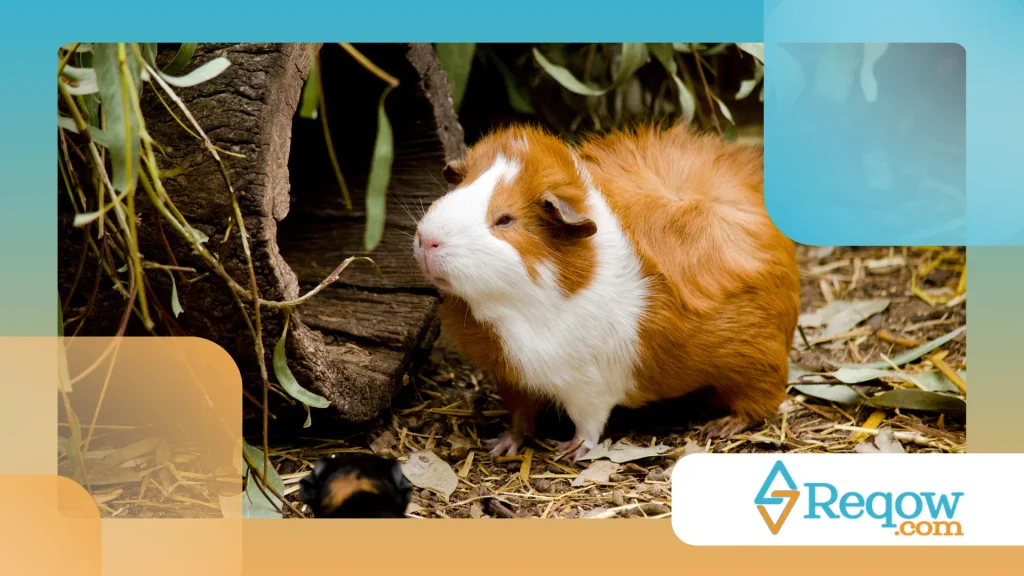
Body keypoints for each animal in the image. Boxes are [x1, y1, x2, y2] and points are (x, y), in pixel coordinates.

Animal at [413, 124, 799, 461]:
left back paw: (720, 427)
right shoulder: (512, 376)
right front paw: (501, 447)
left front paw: (570, 452)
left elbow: (588, 424)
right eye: (454, 191)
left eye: (505, 219)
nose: (426, 239)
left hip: (755, 365)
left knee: (762, 403)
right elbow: (520, 417)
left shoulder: (589, 386)